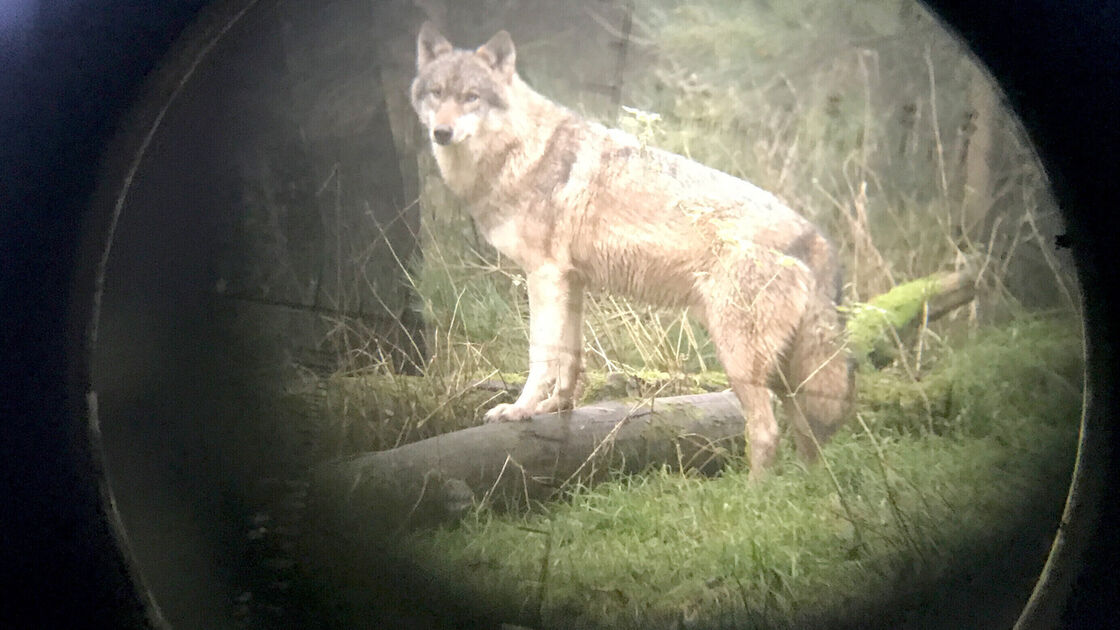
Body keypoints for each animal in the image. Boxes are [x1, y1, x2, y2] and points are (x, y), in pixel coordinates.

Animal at [410, 23, 853, 478]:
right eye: (437, 93)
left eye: (471, 97)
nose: (441, 133)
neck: (520, 151)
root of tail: (815, 237)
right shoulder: (572, 281)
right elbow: (571, 357)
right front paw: (557, 407)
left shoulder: (544, 276)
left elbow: (541, 357)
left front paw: (519, 410)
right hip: (783, 375)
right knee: (809, 438)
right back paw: (806, 487)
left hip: (739, 360)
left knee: (767, 433)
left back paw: (753, 494)